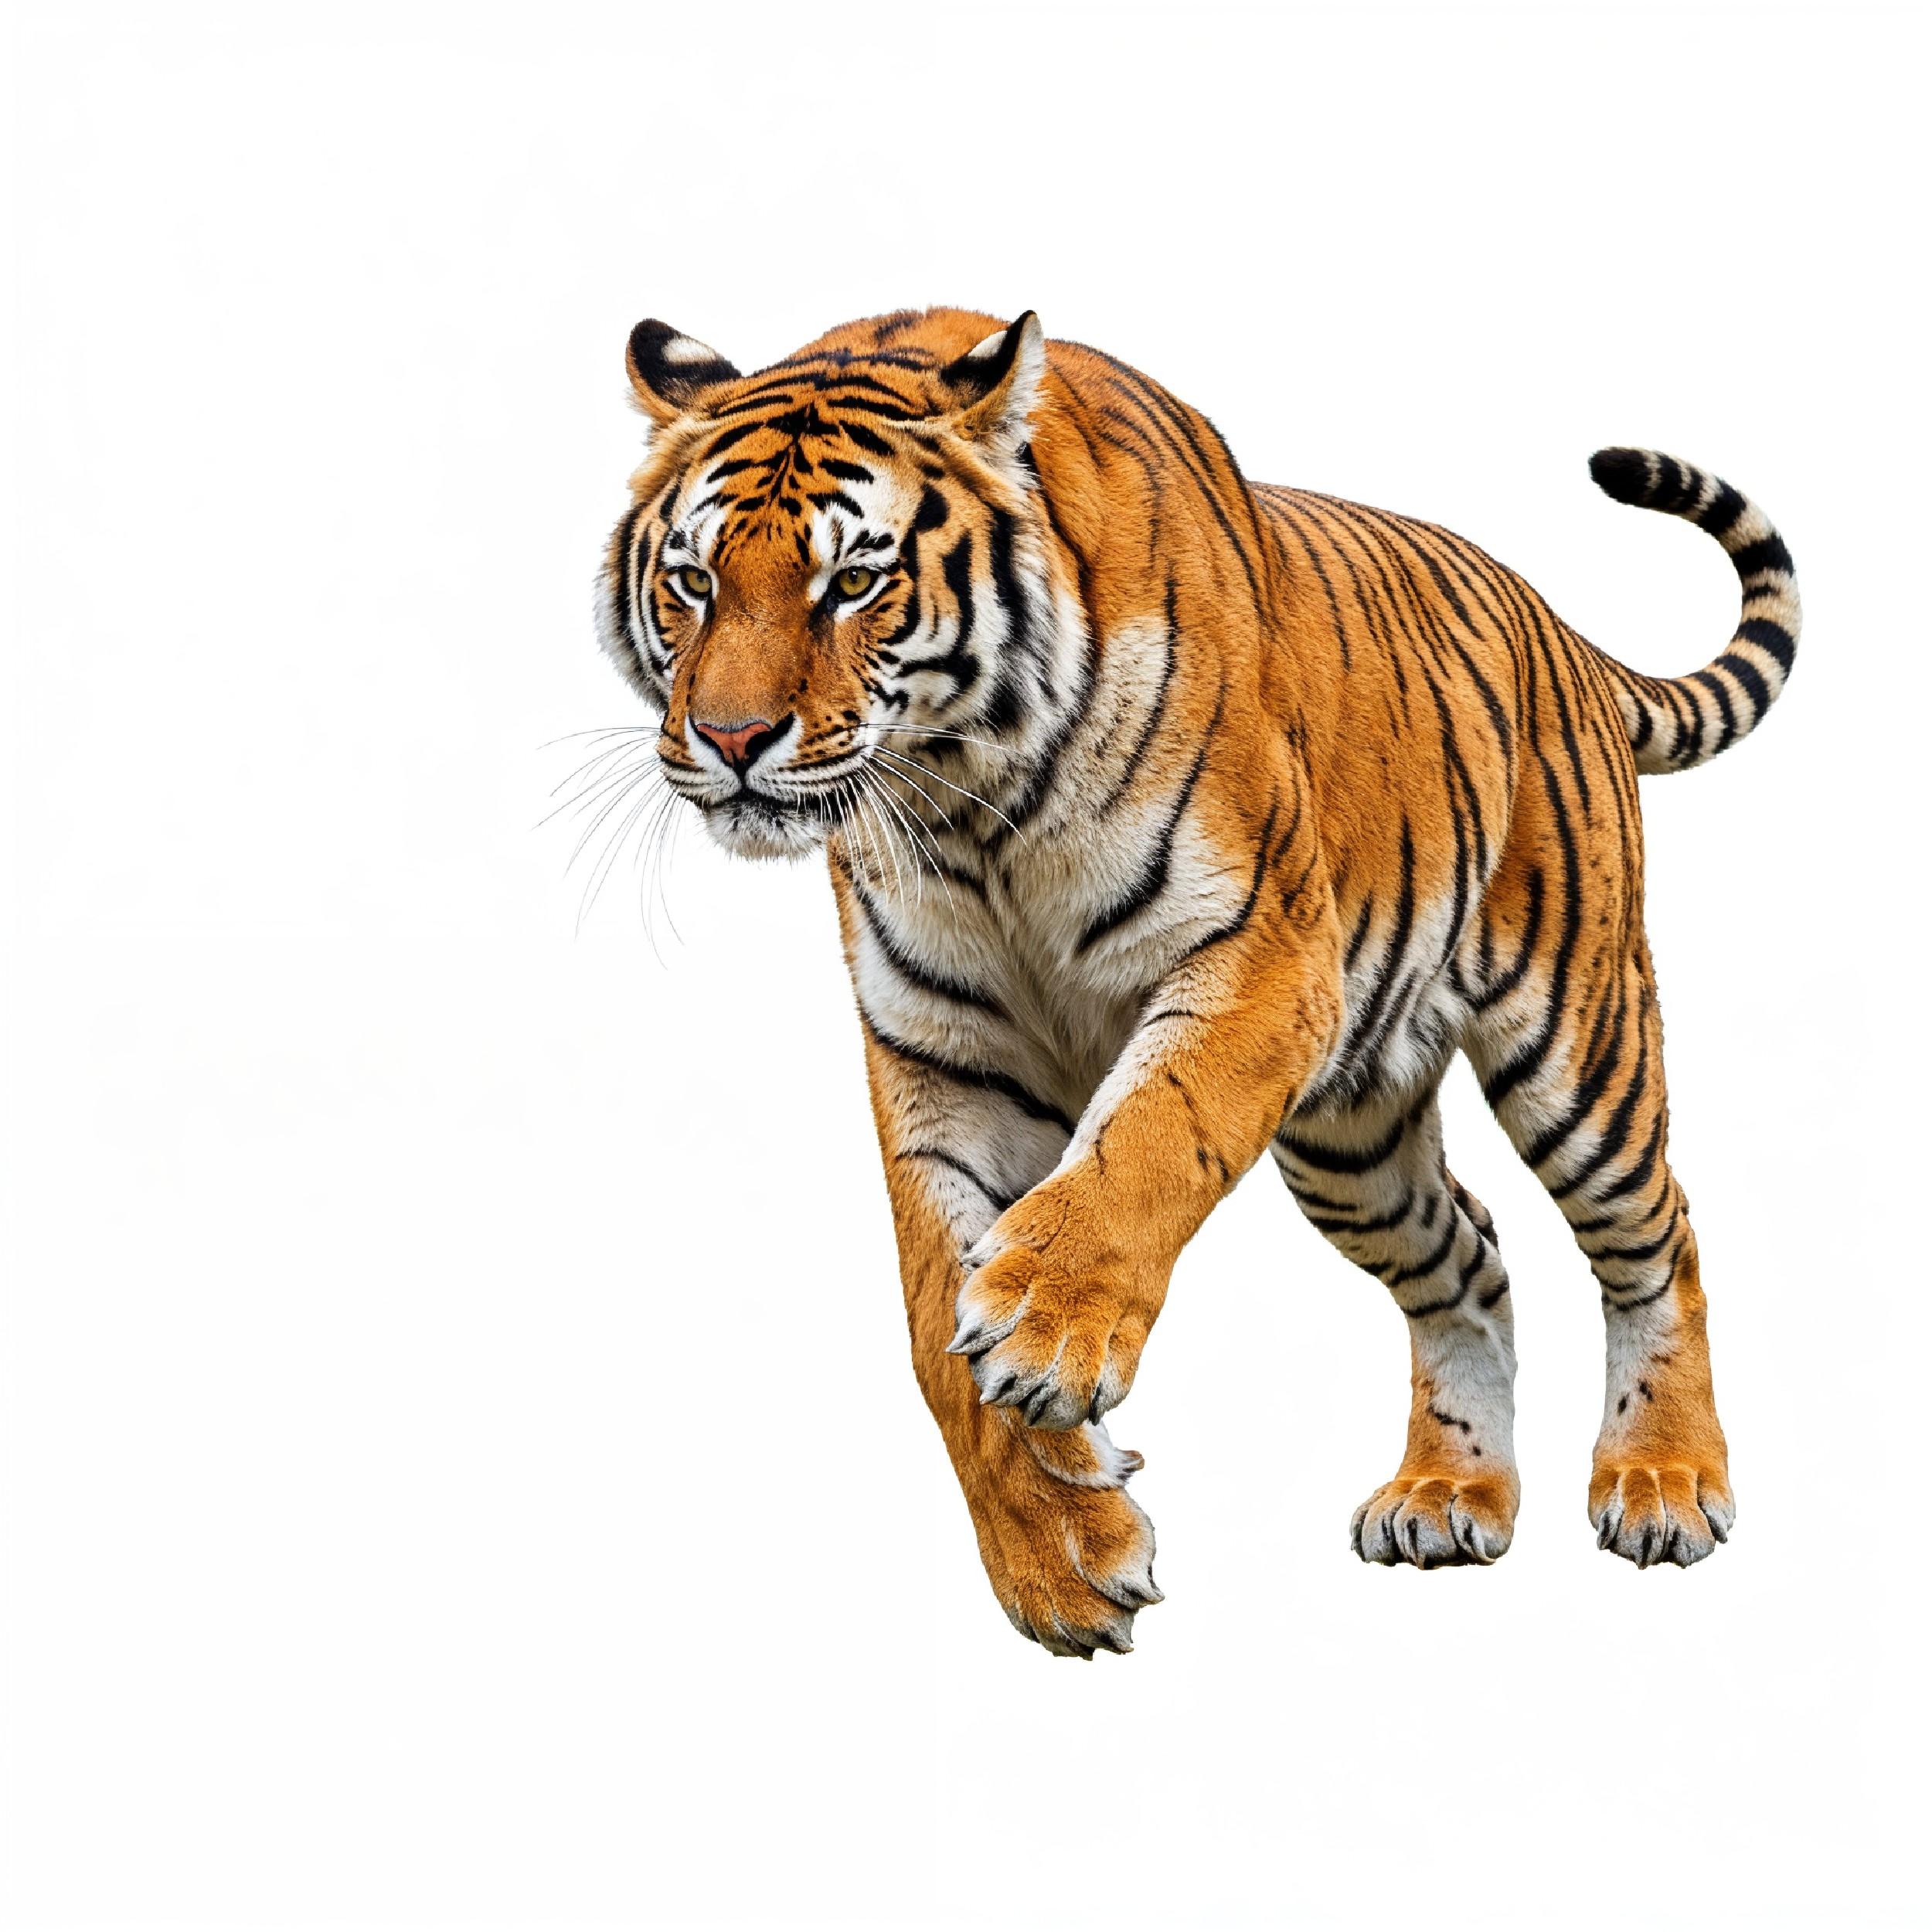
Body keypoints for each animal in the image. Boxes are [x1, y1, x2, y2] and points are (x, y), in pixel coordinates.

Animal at [593, 306, 1800, 1657]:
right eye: (694, 582)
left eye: (854, 581)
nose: (732, 741)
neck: (968, 803)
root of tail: (1561, 629)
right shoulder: (943, 1050)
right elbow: (931, 1316)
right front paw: (1064, 1555)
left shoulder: (1263, 958)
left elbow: (1147, 1142)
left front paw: (1046, 1327)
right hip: (1350, 1140)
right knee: (1469, 1255)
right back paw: (1448, 1493)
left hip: (1578, 1043)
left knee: (1660, 1233)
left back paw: (1665, 1481)